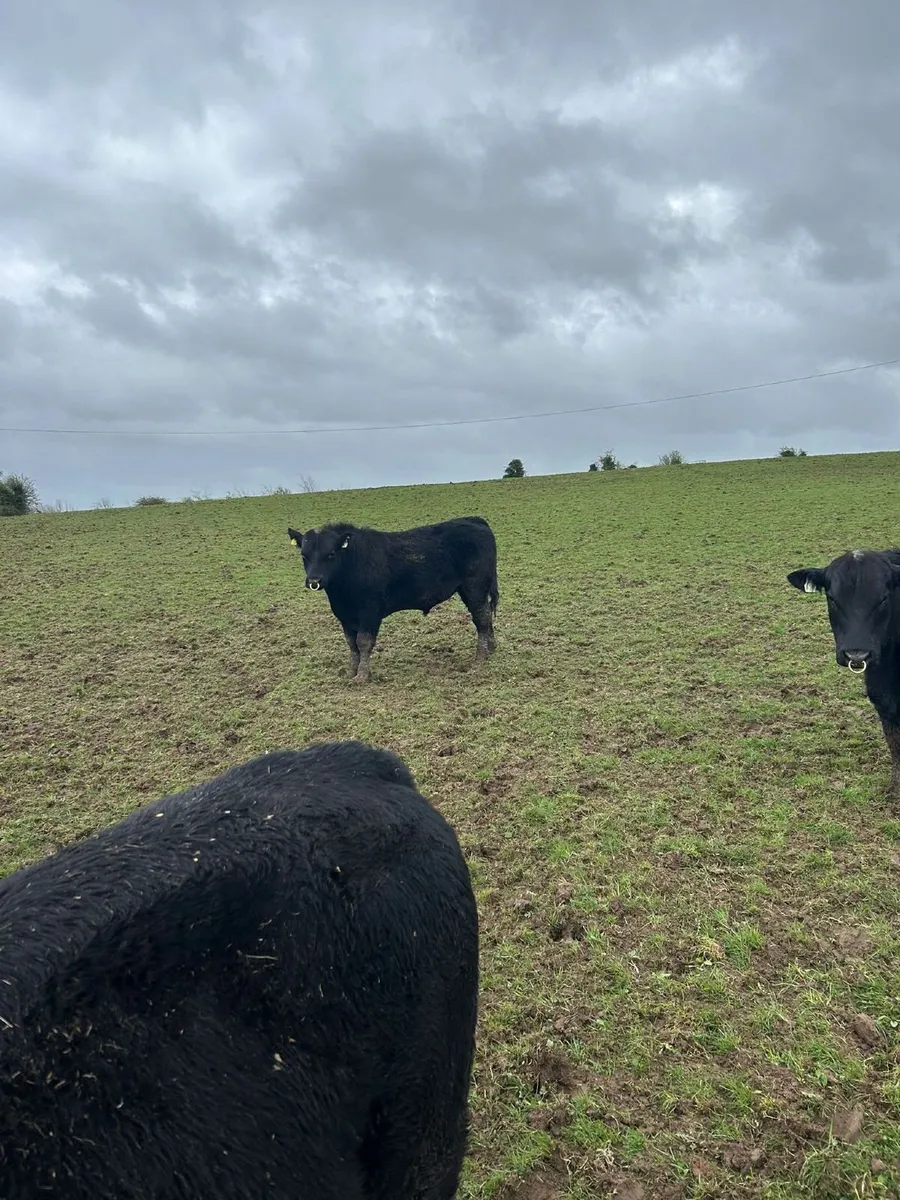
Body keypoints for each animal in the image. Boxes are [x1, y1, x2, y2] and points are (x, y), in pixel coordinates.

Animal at [287, 516, 499, 683]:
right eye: (304, 555)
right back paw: (491, 648)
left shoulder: (370, 612)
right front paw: (351, 672)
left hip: (474, 588)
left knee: (481, 618)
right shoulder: (344, 616)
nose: (314, 581)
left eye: (330, 554)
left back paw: (480, 656)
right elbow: (352, 644)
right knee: (486, 616)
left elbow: (363, 642)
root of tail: (475, 521)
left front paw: (362, 676)